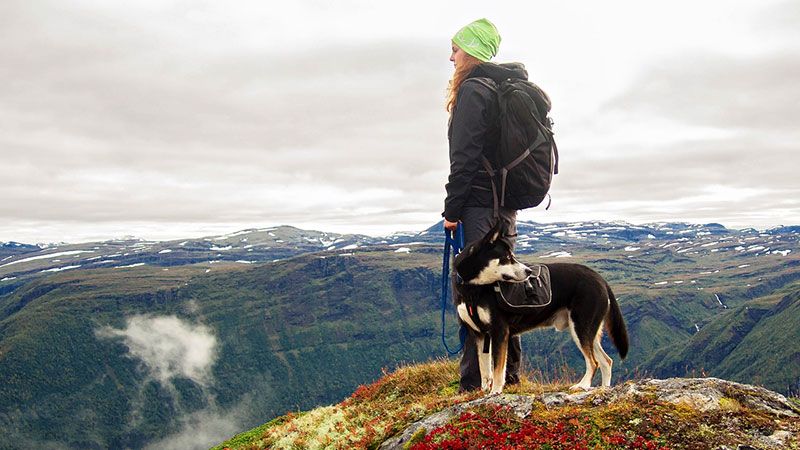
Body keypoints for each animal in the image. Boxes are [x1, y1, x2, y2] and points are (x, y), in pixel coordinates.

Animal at [454, 221, 628, 394]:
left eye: (512, 256)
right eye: (507, 258)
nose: (529, 271)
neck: (473, 288)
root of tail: (600, 279)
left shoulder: (499, 331)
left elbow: (498, 369)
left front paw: (495, 392)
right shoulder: (479, 334)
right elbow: (484, 369)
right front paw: (484, 392)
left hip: (581, 327)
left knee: (593, 362)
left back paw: (583, 385)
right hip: (588, 331)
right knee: (606, 361)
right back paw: (604, 388)